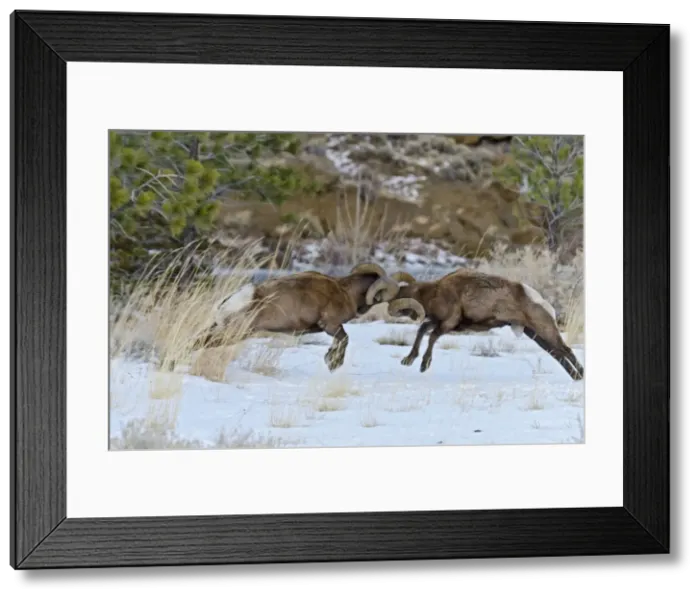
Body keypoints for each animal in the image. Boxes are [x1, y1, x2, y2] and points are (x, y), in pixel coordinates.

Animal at [193, 263, 425, 372]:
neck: (346, 291)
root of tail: (237, 299)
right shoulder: (330, 325)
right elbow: (344, 339)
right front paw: (333, 363)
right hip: (233, 333)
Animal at [385, 268, 584, 381]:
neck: (435, 292)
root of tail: (540, 300)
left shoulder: (448, 323)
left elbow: (432, 336)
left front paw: (424, 365)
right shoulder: (437, 321)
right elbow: (422, 330)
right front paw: (408, 360)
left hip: (545, 330)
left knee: (565, 351)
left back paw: (581, 376)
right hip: (535, 335)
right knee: (557, 354)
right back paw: (577, 377)